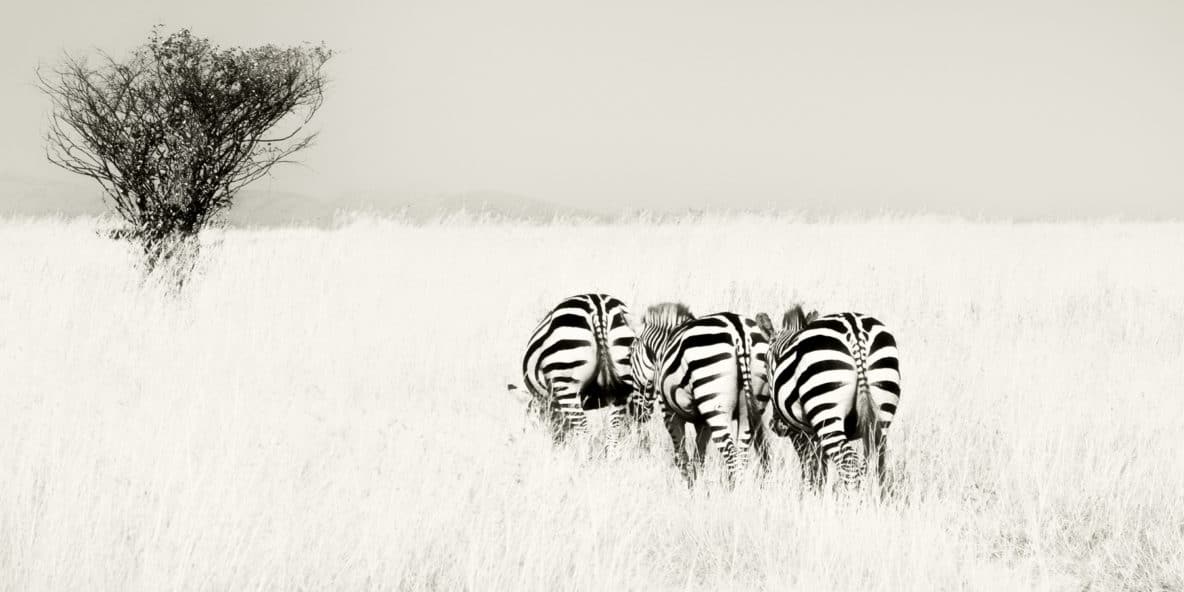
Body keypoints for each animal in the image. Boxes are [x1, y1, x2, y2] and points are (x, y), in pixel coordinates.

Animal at [653, 312, 771, 483]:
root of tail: (739, 330)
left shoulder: (669, 412)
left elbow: (681, 455)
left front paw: (689, 485)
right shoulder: (703, 422)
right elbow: (698, 456)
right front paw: (697, 484)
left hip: (714, 403)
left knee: (731, 454)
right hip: (752, 401)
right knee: (741, 454)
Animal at [762, 305, 899, 490]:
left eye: (765, 363)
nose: (777, 425)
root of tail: (855, 332)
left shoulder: (802, 433)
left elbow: (810, 467)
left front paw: (809, 494)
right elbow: (820, 469)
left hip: (826, 411)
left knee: (849, 463)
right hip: (882, 411)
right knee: (873, 462)